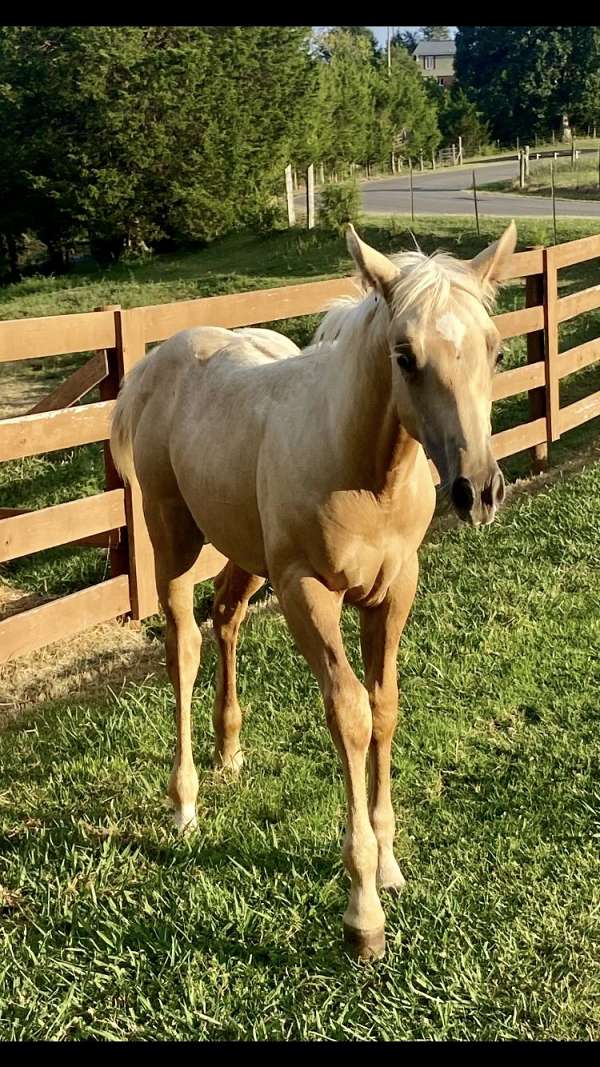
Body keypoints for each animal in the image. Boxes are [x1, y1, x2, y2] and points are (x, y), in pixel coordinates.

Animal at [111, 223, 514, 960]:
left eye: (495, 349)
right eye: (405, 356)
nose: (478, 491)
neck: (364, 473)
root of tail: (161, 362)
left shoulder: (395, 590)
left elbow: (385, 707)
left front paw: (390, 863)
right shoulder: (306, 591)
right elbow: (350, 714)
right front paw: (363, 914)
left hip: (245, 551)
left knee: (226, 616)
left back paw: (230, 752)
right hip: (174, 540)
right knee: (184, 647)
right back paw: (184, 800)